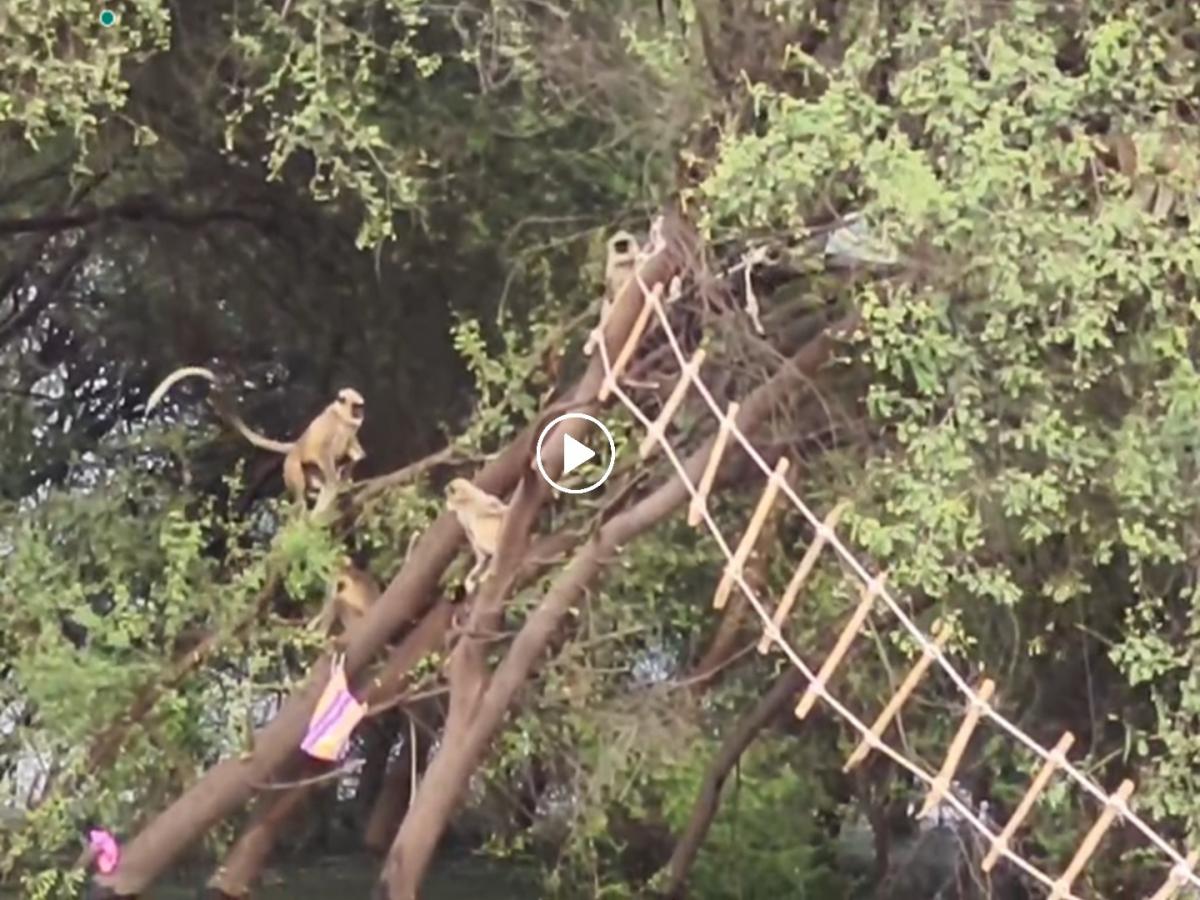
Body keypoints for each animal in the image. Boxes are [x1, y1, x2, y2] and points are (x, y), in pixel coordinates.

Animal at [146, 367, 366, 506]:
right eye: (356, 407)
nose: (360, 414)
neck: (341, 417)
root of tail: (296, 446)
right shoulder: (331, 426)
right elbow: (325, 452)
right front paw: (337, 484)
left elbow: (355, 453)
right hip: (292, 466)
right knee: (302, 493)